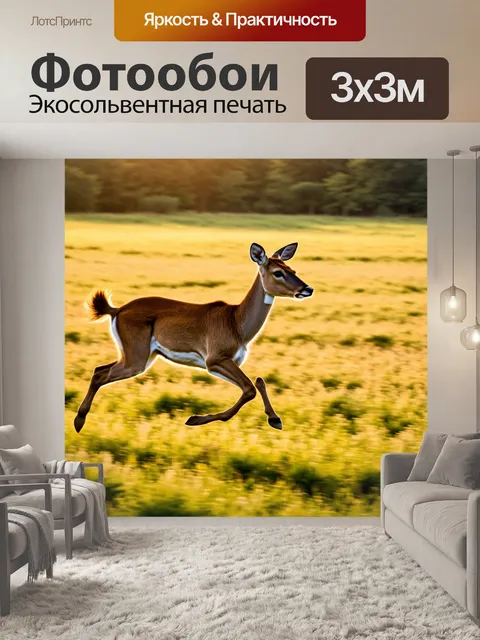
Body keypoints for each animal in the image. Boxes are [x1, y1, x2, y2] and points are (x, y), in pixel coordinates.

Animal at [73, 242, 314, 433]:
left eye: (292, 268)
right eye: (277, 272)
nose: (307, 288)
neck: (236, 322)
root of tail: (116, 310)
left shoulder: (227, 362)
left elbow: (258, 382)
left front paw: (275, 419)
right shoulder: (214, 360)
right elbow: (249, 389)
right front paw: (194, 419)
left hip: (142, 356)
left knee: (99, 369)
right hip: (136, 359)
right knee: (100, 374)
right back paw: (78, 421)